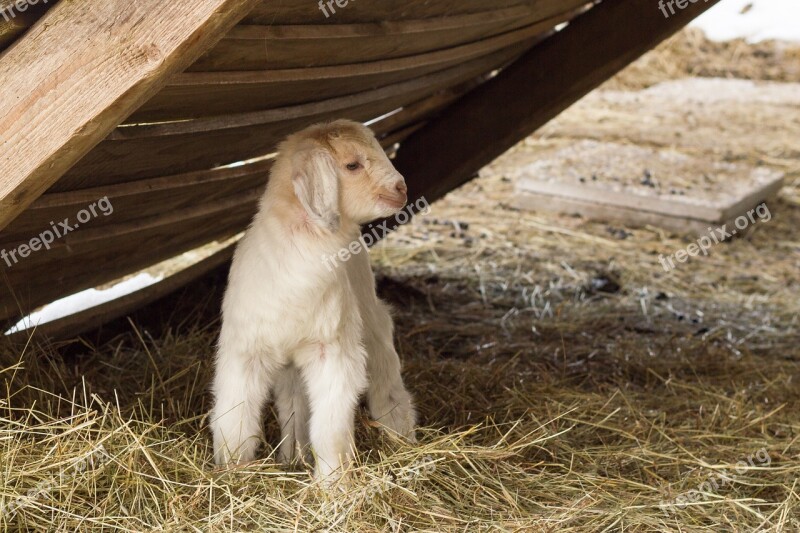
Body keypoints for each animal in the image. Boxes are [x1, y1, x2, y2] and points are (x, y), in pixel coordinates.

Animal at [206, 119, 418, 478]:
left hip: (368, 316)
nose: (401, 188)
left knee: (384, 366)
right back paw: (294, 455)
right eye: (352, 165)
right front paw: (233, 470)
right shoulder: (245, 352)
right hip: (292, 361)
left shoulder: (332, 352)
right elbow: (235, 417)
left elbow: (330, 426)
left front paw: (333, 481)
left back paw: (399, 431)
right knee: (294, 399)